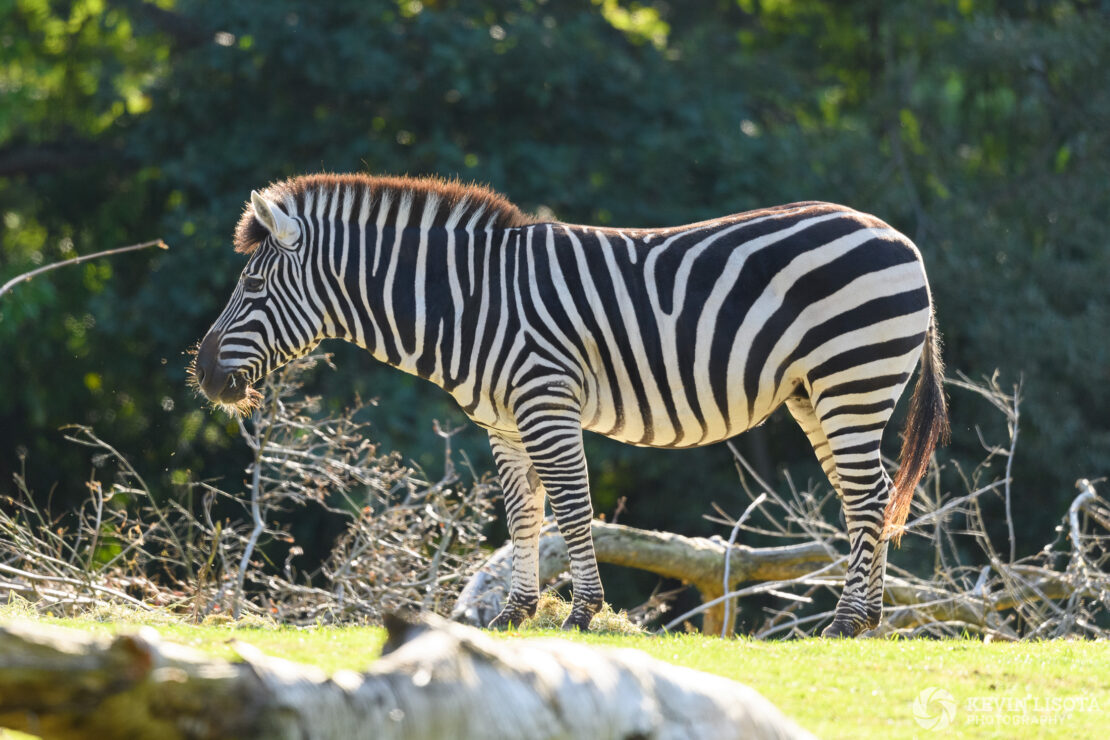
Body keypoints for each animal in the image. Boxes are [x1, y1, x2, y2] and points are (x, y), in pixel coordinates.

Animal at [195, 171, 950, 639]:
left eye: (252, 287)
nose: (202, 375)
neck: (467, 303)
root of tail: (900, 238)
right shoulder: (501, 421)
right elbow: (523, 513)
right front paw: (516, 611)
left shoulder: (545, 400)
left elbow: (571, 506)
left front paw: (581, 613)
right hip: (817, 394)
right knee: (866, 496)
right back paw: (866, 617)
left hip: (853, 376)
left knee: (870, 495)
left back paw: (851, 618)